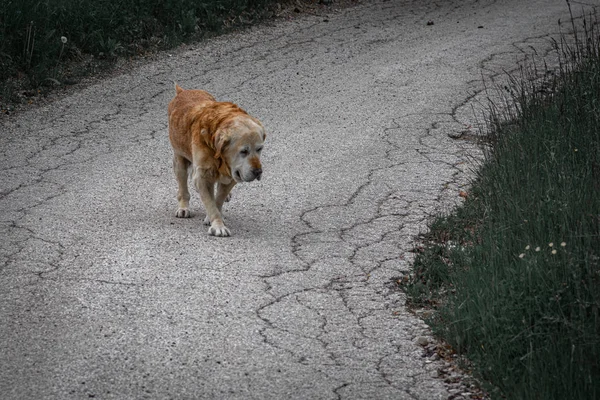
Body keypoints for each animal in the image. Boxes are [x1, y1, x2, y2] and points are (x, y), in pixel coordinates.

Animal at [166, 83, 264, 236]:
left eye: (259, 149)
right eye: (244, 151)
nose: (258, 172)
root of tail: (182, 92)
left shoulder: (231, 176)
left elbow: (217, 200)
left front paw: (214, 218)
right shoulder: (203, 176)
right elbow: (210, 202)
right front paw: (218, 226)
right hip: (179, 158)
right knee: (183, 186)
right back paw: (183, 207)